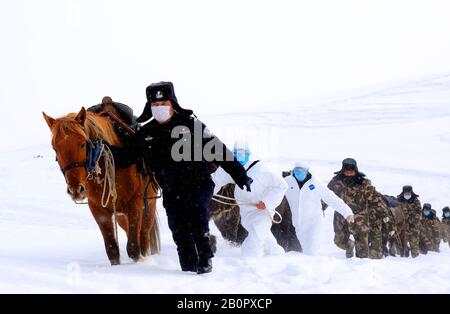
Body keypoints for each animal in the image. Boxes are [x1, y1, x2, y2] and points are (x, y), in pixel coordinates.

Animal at [42, 107, 161, 264]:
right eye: (55, 148)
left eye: (82, 144)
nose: (76, 190)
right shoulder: (99, 210)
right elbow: (112, 249)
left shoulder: (135, 204)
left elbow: (133, 248)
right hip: (121, 216)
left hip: (148, 207)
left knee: (144, 236)